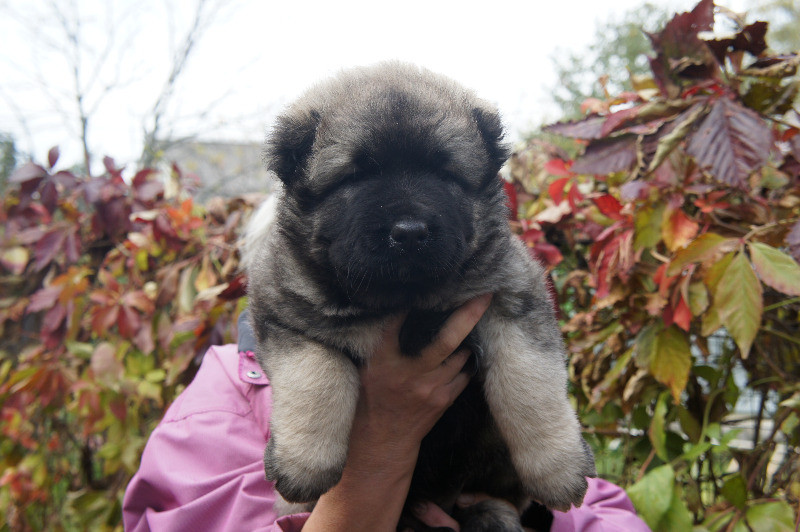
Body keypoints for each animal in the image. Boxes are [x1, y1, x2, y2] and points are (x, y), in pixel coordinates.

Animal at [247, 61, 596, 528]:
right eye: (357, 176)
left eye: (444, 173)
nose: (410, 232)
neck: (406, 300)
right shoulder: (285, 312)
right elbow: (317, 377)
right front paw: (303, 466)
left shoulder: (512, 298)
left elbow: (529, 386)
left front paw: (559, 470)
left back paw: (491, 515)